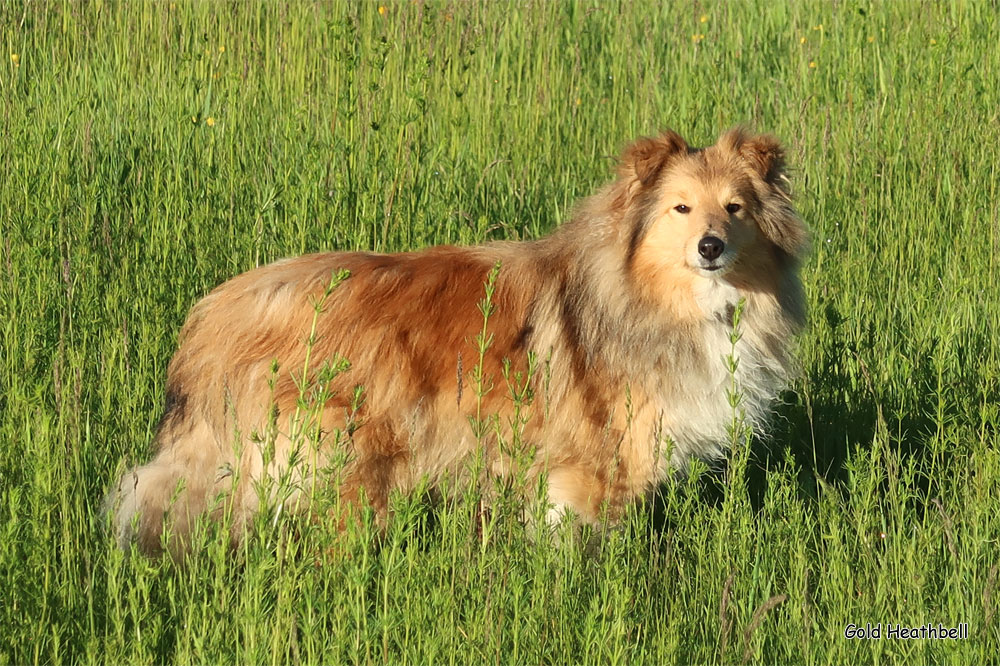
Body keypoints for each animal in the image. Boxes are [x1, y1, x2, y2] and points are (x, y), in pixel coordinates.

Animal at [105, 127, 808, 552]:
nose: (711, 247)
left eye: (736, 208)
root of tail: (213, 319)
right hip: (337, 457)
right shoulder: (591, 468)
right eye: (680, 208)